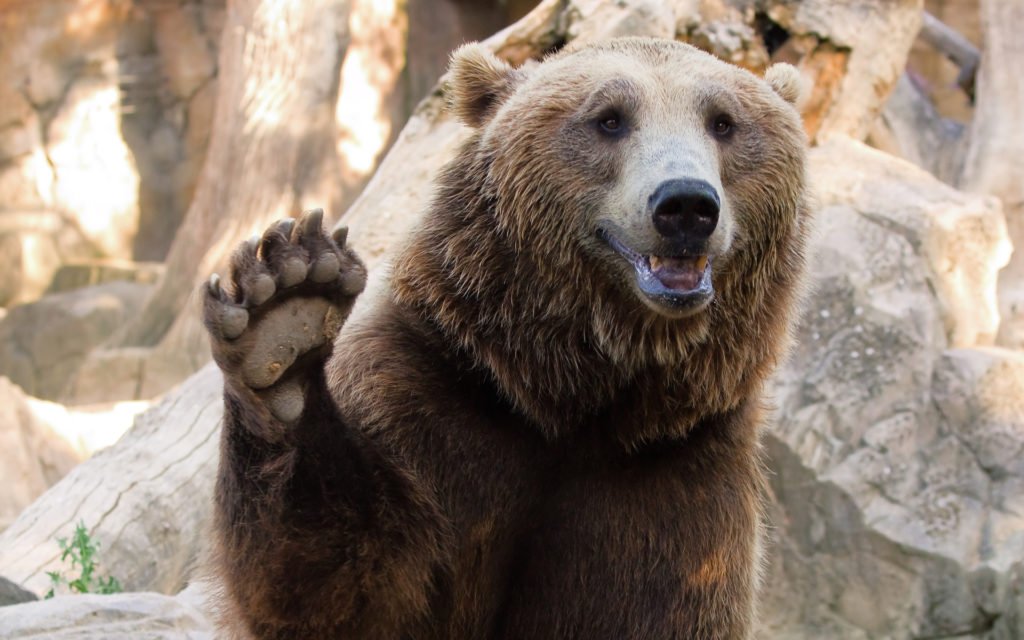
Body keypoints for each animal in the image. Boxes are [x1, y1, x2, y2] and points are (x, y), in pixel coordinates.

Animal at [202, 37, 810, 639]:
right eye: (609, 119)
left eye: (723, 122)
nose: (686, 205)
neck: (575, 395)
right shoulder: (433, 399)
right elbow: (344, 582)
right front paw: (285, 318)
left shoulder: (679, 476)